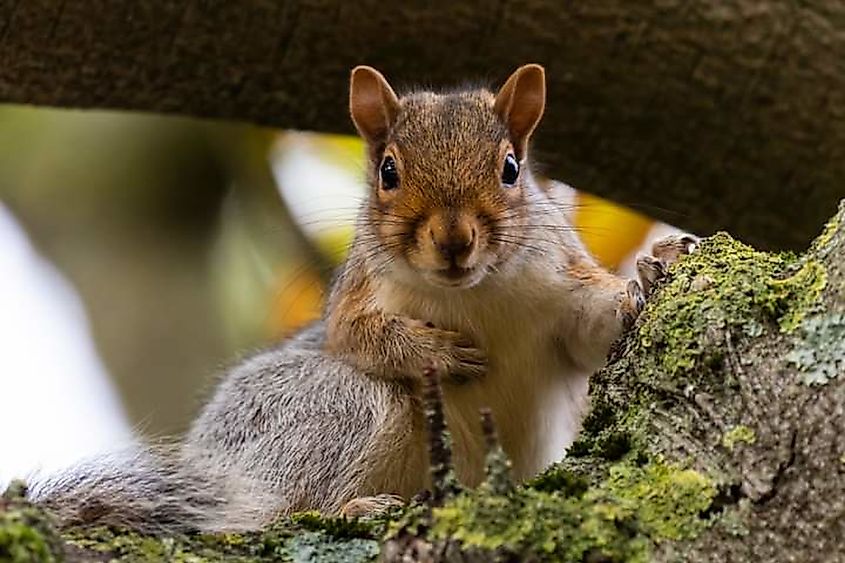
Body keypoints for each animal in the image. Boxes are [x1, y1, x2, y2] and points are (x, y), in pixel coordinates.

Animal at [27, 64, 696, 533]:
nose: (454, 241)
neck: (475, 296)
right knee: (270, 511)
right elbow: (360, 337)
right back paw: (352, 508)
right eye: (388, 173)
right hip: (337, 408)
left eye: (511, 168)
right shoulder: (354, 298)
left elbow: (594, 332)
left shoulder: (560, 287)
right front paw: (435, 353)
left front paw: (651, 272)